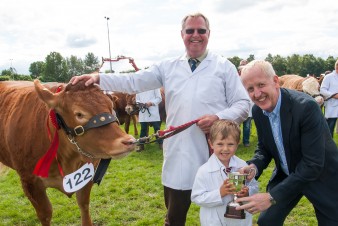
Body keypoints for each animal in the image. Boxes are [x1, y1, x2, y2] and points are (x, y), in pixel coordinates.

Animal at [0, 80, 135, 225]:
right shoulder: (29, 181)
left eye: (111, 108)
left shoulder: (88, 174)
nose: (129, 141)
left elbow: (84, 205)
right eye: (79, 114)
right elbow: (45, 214)